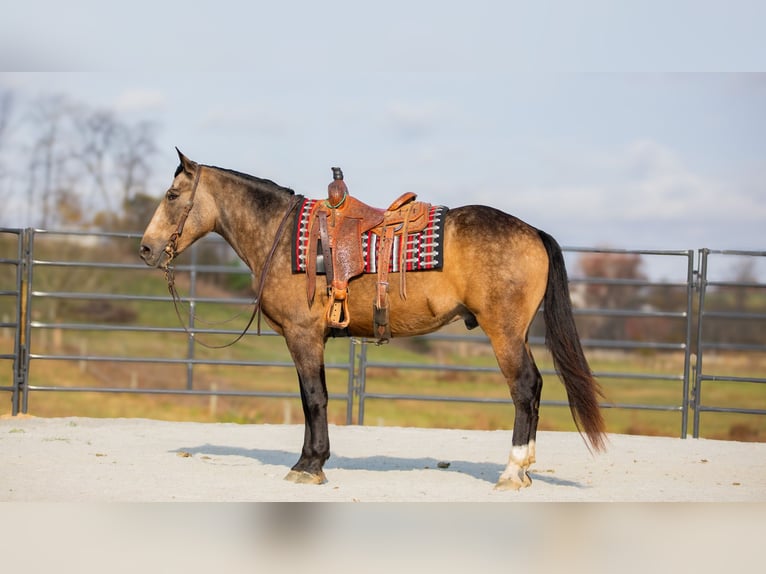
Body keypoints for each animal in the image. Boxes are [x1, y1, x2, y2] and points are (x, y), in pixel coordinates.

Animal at [138, 148, 608, 490]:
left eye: (172, 196)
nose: (145, 248)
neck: (282, 236)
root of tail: (533, 232)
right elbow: (311, 399)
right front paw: (312, 460)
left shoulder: (303, 336)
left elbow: (314, 399)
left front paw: (309, 465)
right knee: (535, 388)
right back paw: (525, 469)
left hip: (504, 333)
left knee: (524, 388)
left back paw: (512, 471)